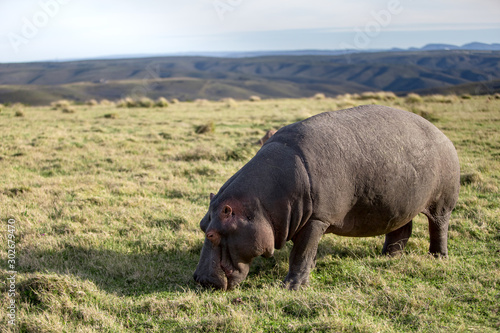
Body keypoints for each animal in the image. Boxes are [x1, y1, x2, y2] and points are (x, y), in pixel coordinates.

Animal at [192, 105, 460, 290]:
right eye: (202, 225)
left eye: (212, 234)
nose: (199, 279)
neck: (259, 205)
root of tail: (442, 133)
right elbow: (307, 253)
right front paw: (309, 271)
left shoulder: (317, 220)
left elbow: (300, 253)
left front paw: (291, 287)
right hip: (399, 205)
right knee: (400, 230)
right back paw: (387, 256)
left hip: (441, 203)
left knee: (438, 227)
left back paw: (438, 257)